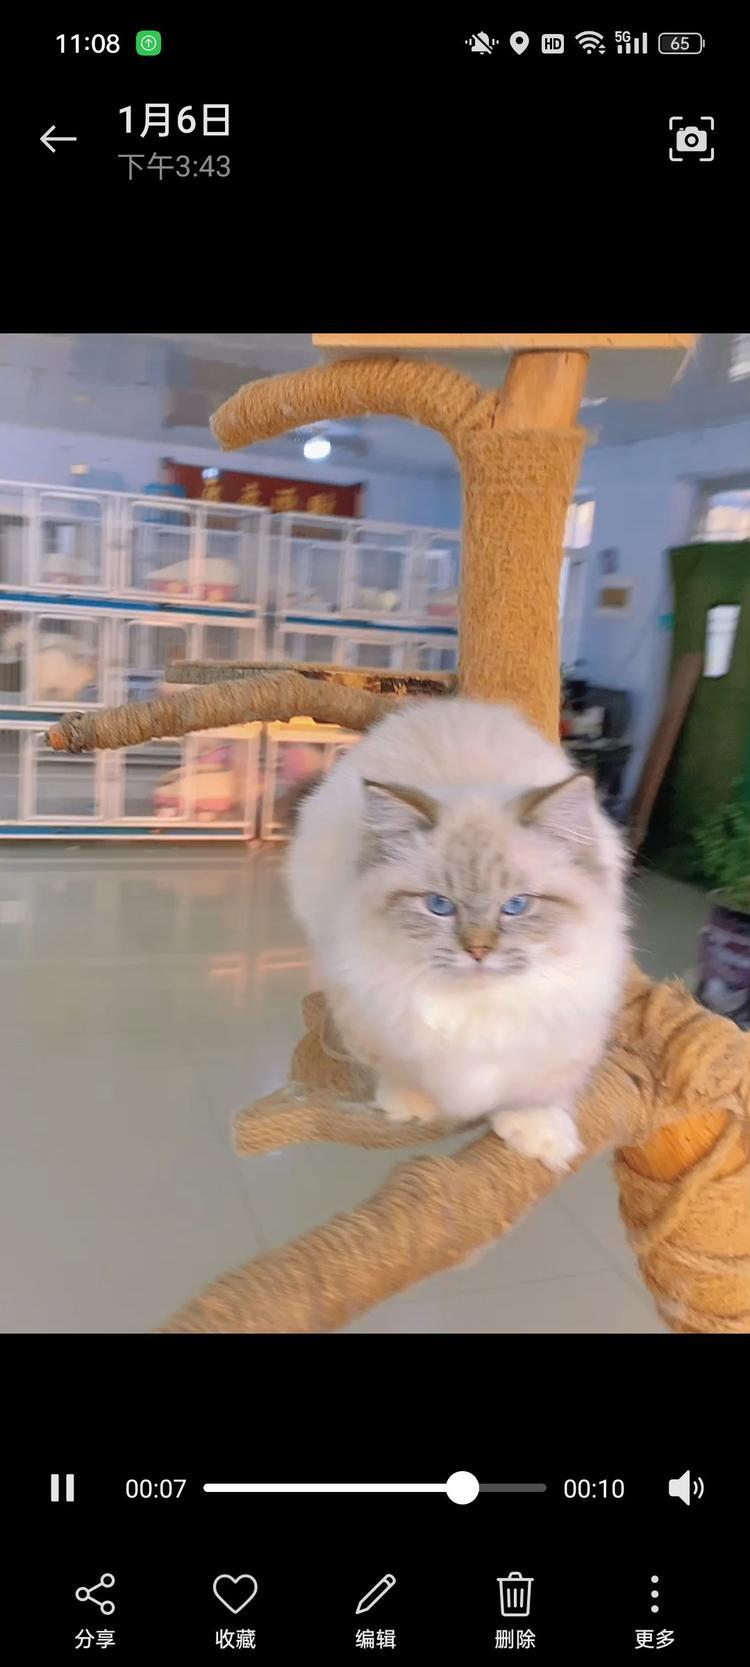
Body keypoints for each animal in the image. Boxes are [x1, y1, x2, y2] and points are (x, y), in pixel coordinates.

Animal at [287, 698, 628, 1172]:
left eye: (516, 906)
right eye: (439, 906)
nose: (478, 951)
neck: (475, 1009)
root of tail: (447, 705)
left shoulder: (562, 1038)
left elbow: (537, 1094)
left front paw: (537, 1135)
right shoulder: (370, 1016)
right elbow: (399, 1070)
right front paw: (411, 1104)